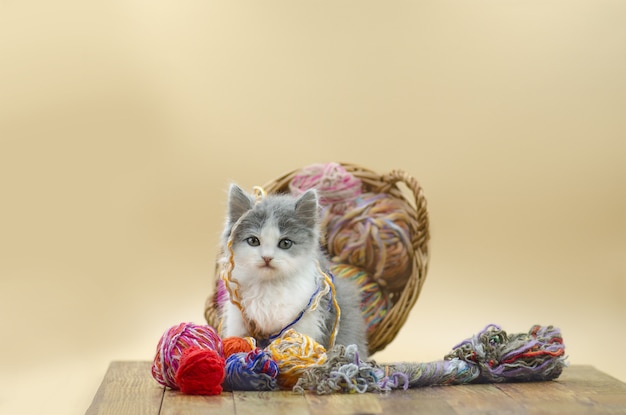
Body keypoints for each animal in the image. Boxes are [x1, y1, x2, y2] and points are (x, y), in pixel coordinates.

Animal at [219, 185, 368, 360]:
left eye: (285, 243)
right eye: (253, 241)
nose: (267, 258)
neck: (268, 285)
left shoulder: (304, 320)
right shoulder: (238, 317)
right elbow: (238, 337)